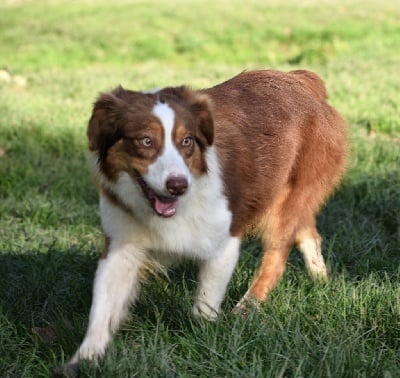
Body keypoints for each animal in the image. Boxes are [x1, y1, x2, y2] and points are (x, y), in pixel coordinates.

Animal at [64, 69, 346, 370]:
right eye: (146, 141)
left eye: (187, 141)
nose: (178, 185)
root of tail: (301, 79)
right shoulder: (121, 245)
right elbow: (102, 307)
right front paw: (84, 359)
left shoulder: (225, 240)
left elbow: (204, 304)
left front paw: (206, 338)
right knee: (307, 232)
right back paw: (320, 280)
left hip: (287, 195)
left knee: (277, 254)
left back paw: (247, 306)